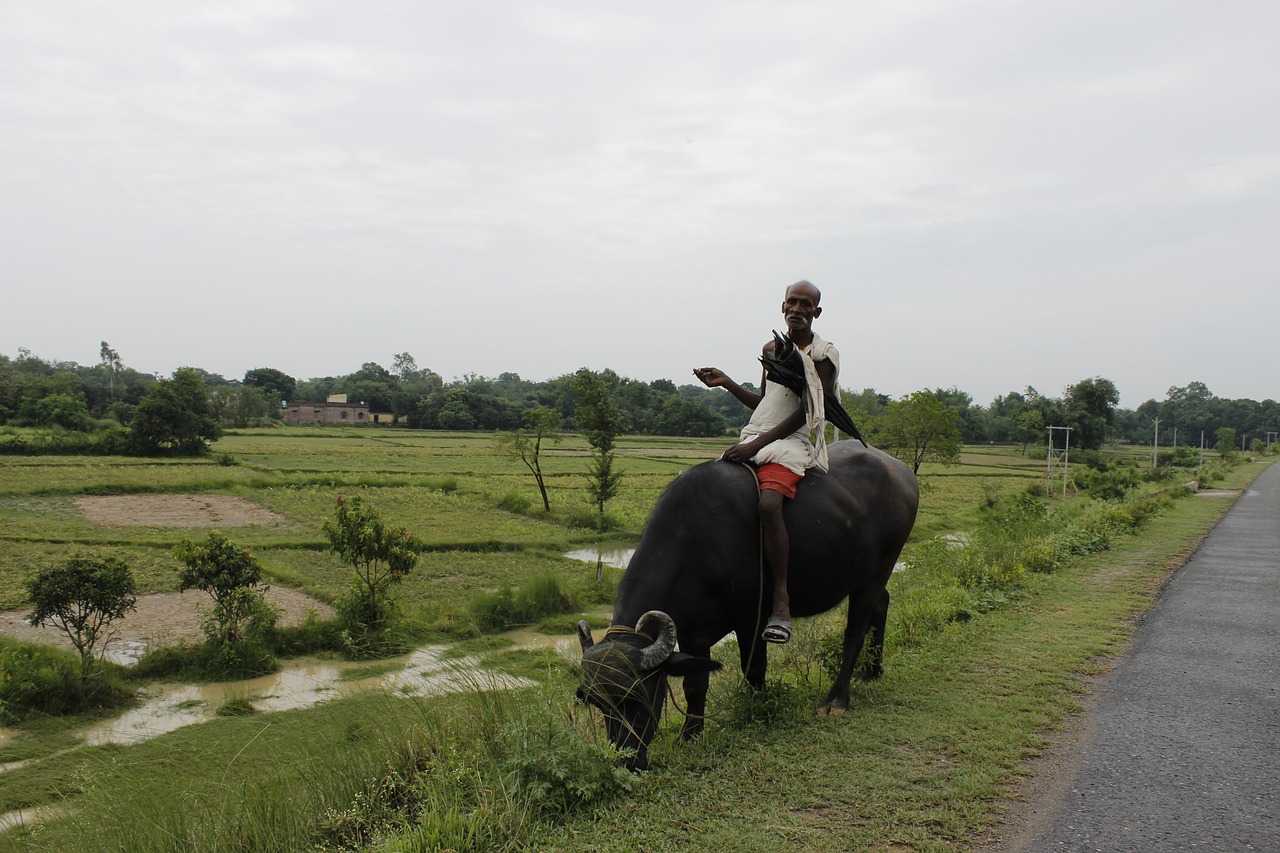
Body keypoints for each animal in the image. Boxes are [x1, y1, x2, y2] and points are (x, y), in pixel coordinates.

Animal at [578, 440, 921, 768]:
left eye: (637, 698)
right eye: (598, 703)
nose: (627, 760)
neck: (698, 541)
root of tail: (903, 473)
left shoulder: (749, 619)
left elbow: (753, 669)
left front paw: (758, 710)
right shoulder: (691, 630)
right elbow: (695, 683)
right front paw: (689, 735)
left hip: (880, 567)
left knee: (855, 630)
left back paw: (836, 699)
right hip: (867, 576)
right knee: (882, 604)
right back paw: (872, 671)